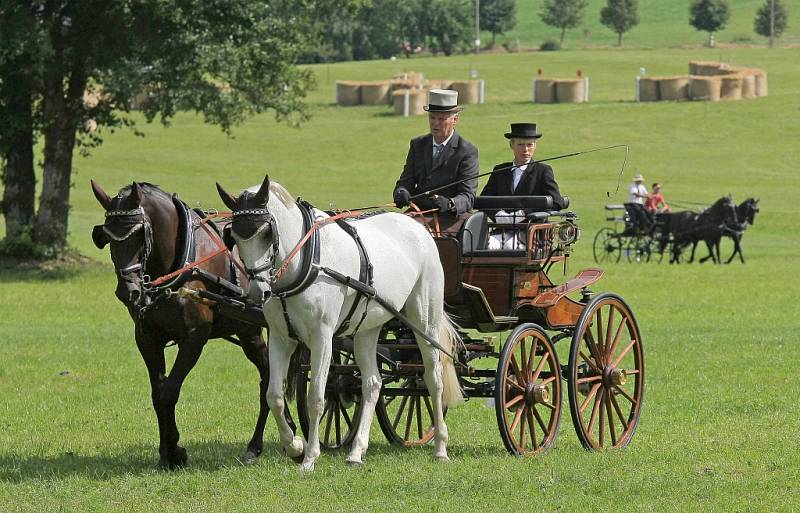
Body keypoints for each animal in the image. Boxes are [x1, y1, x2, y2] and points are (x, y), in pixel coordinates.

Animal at [91, 181, 284, 468]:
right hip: (249, 331)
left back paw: (257, 445)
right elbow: (157, 394)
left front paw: (175, 451)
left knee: (269, 378)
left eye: (139, 234)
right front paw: (166, 452)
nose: (128, 292)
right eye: (107, 237)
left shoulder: (194, 338)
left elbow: (170, 391)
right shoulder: (147, 339)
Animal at [217, 177, 462, 472]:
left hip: (424, 321)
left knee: (433, 378)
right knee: (372, 384)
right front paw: (295, 446)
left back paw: (440, 447)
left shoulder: (322, 337)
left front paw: (309, 457)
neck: (306, 260)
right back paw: (357, 451)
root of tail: (419, 228)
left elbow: (316, 397)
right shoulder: (280, 337)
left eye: (266, 233)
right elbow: (273, 395)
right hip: (367, 328)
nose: (257, 292)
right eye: (234, 237)